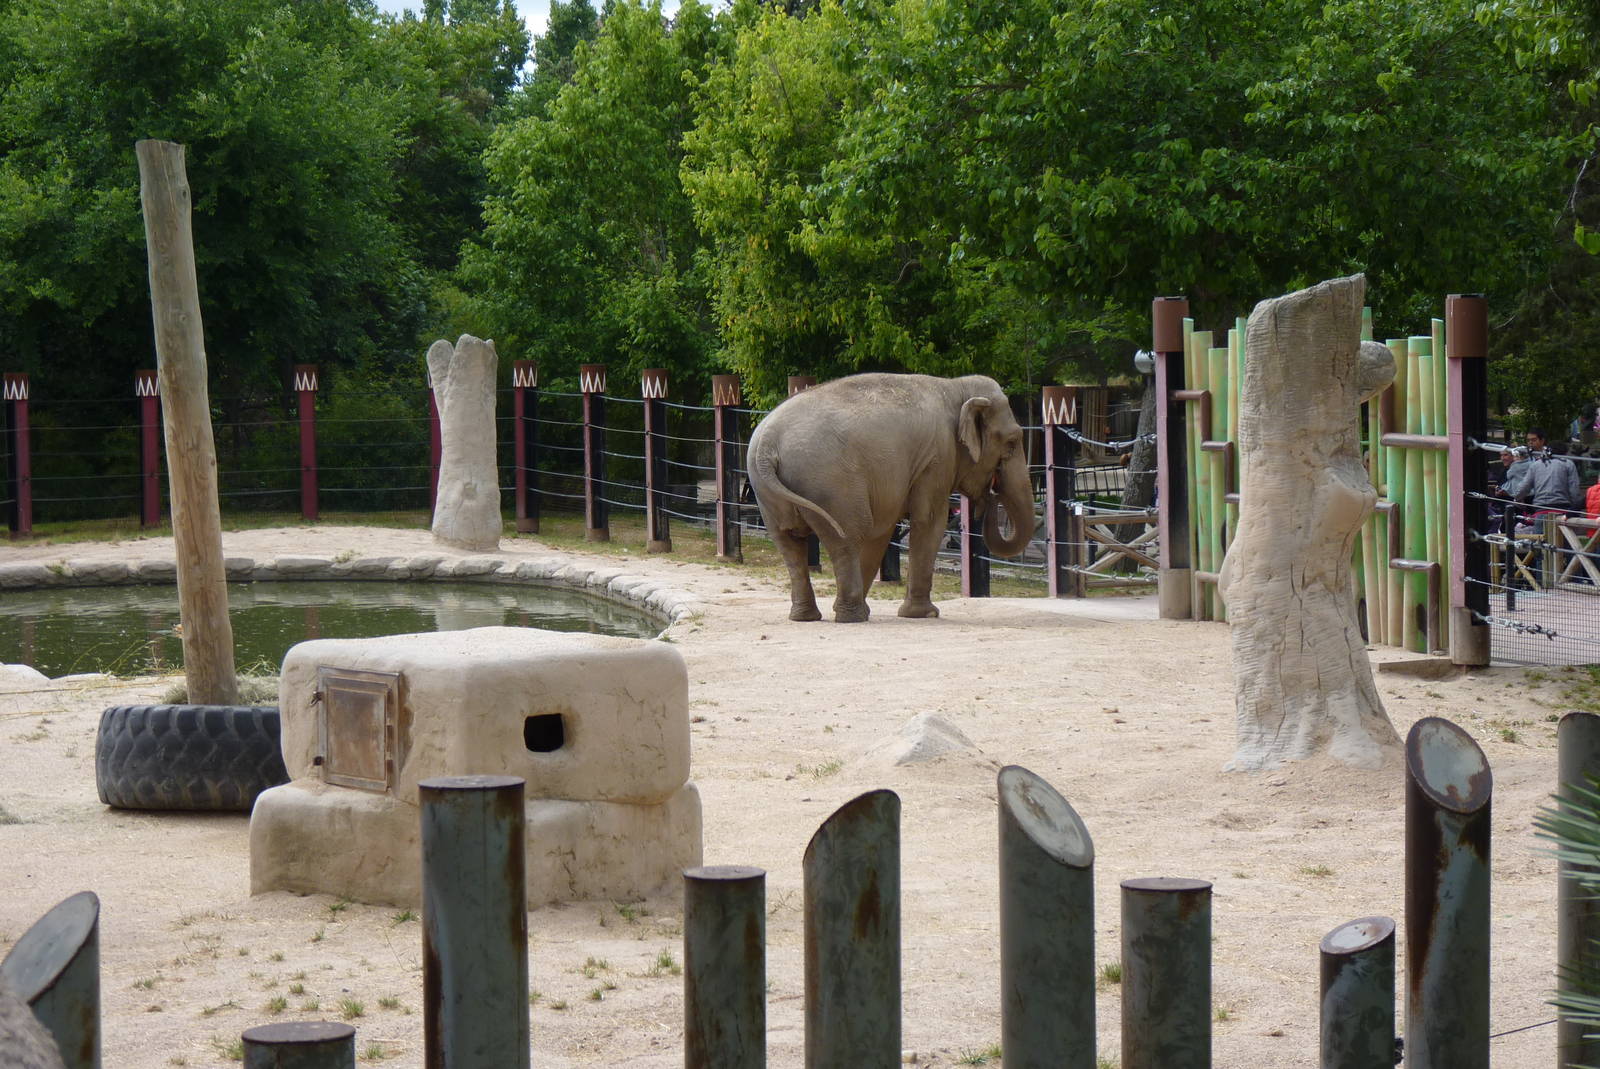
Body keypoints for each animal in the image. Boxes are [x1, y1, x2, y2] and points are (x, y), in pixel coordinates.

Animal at [746, 373, 1035, 622]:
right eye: (1011, 443)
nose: (991, 493)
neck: (956, 387)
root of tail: (766, 445)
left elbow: (881, 532)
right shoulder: (937, 458)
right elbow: (929, 522)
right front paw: (925, 614)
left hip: (770, 495)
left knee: (790, 545)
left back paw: (808, 617)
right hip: (829, 484)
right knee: (847, 538)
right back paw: (853, 617)